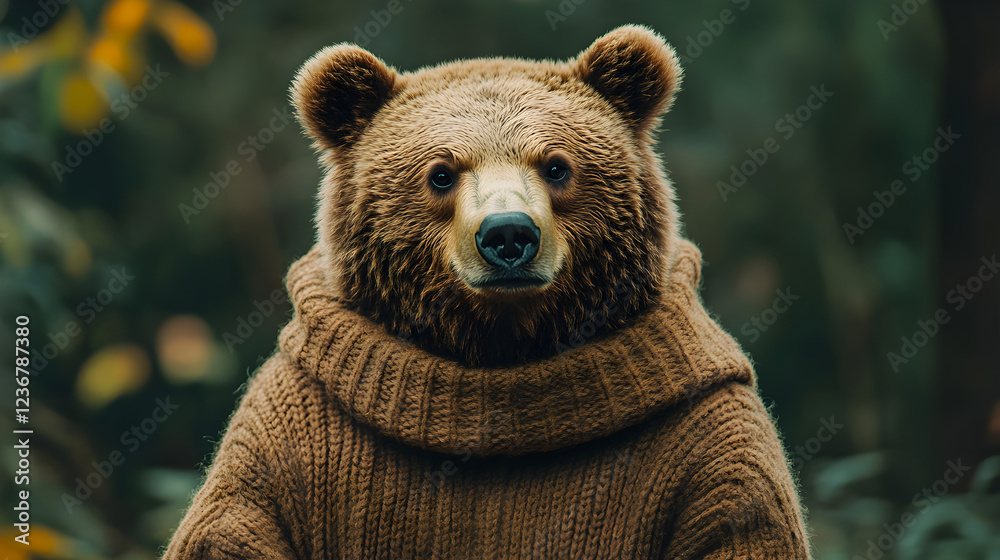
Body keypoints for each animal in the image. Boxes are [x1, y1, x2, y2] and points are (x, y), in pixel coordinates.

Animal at [163, 25, 811, 559]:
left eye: (556, 165)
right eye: (440, 173)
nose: (507, 235)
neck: (499, 347)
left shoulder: (713, 441)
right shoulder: (284, 433)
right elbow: (229, 532)